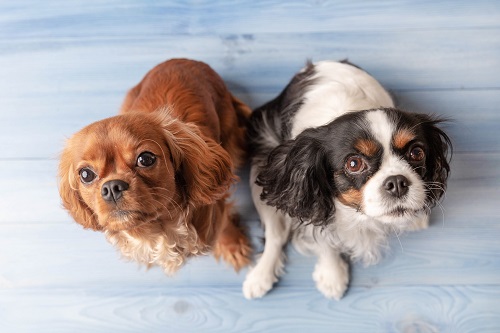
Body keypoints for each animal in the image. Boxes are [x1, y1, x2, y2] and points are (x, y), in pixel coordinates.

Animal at [59, 59, 252, 272]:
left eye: (145, 159)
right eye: (86, 174)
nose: (112, 187)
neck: (158, 230)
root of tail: (183, 59)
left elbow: (224, 223)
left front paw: (232, 245)